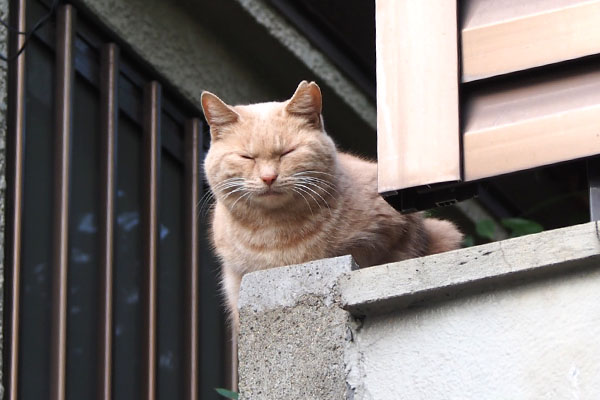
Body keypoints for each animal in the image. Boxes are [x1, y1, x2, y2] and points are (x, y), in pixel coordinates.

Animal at [202, 79, 464, 326]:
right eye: (247, 157)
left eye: (288, 152)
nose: (268, 177)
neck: (274, 233)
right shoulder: (236, 281)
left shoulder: (393, 231)